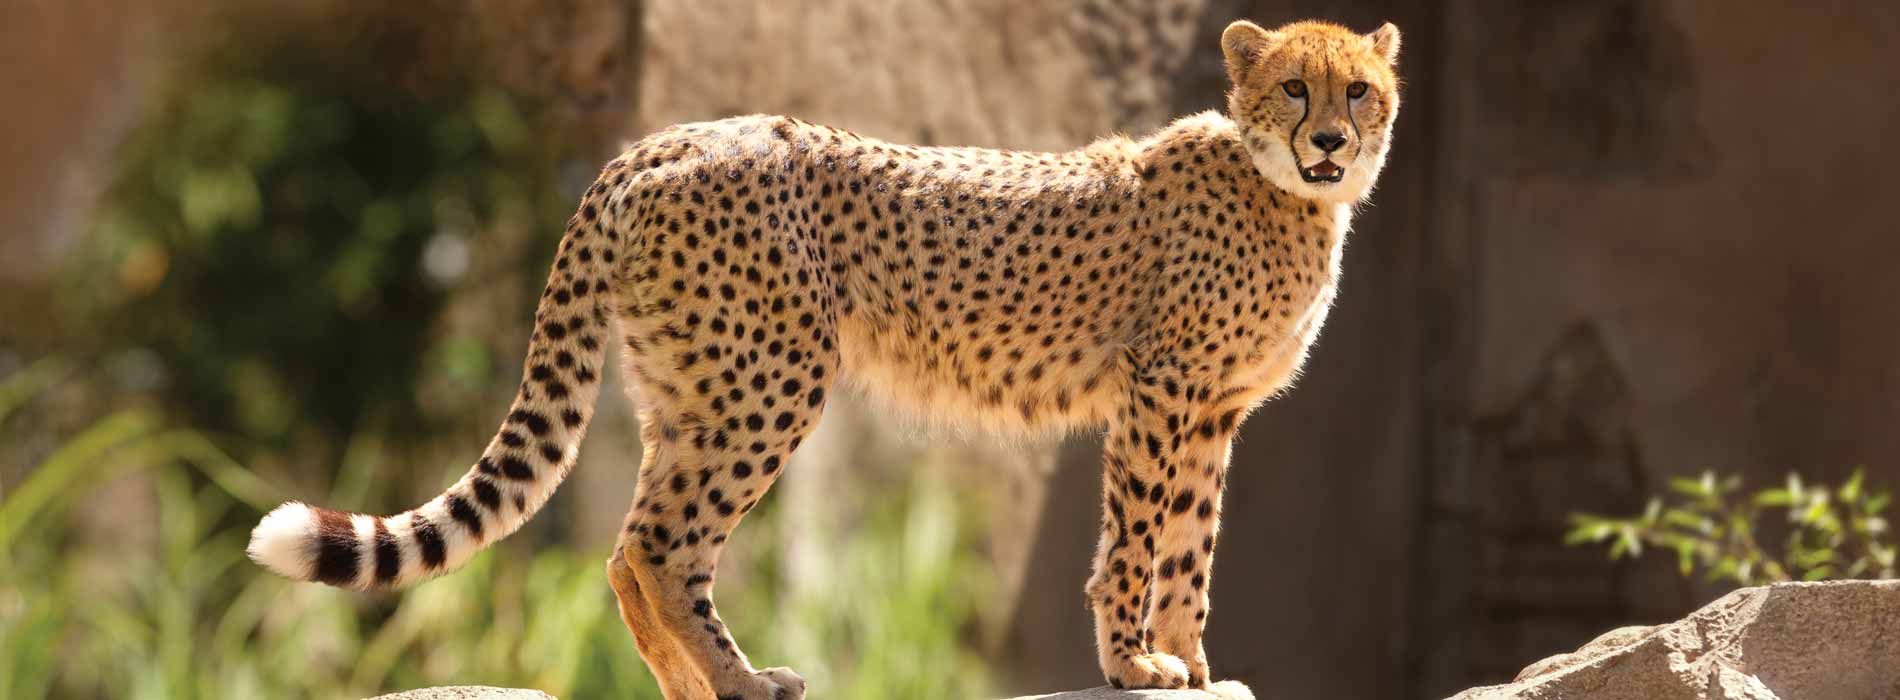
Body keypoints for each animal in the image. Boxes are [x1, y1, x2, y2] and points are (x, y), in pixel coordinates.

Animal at [248, 18, 1402, 699]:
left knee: (626, 546)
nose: (1329, 142)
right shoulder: (1160, 390)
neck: (1290, 196)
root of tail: (661, 138)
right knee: (664, 545)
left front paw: (1193, 661)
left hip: (692, 387)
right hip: (773, 377)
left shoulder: (1211, 410)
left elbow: (1191, 546)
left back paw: (695, 688)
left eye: (1358, 91)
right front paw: (1133, 663)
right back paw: (744, 683)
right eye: (1294, 88)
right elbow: (1139, 539)